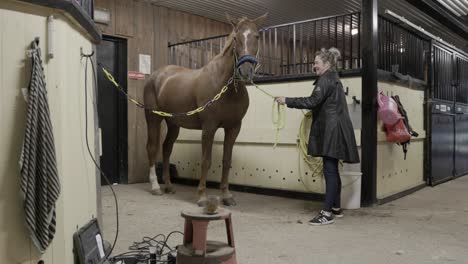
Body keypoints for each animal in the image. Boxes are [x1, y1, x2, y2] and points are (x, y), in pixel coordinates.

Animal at [143, 12, 266, 206]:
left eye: (257, 36)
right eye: (235, 37)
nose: (245, 71)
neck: (225, 87)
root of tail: (156, 76)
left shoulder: (233, 128)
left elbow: (226, 160)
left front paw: (226, 195)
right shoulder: (209, 128)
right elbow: (206, 161)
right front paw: (201, 196)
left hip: (173, 123)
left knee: (166, 148)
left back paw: (169, 185)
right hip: (153, 118)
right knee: (152, 148)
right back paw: (156, 186)